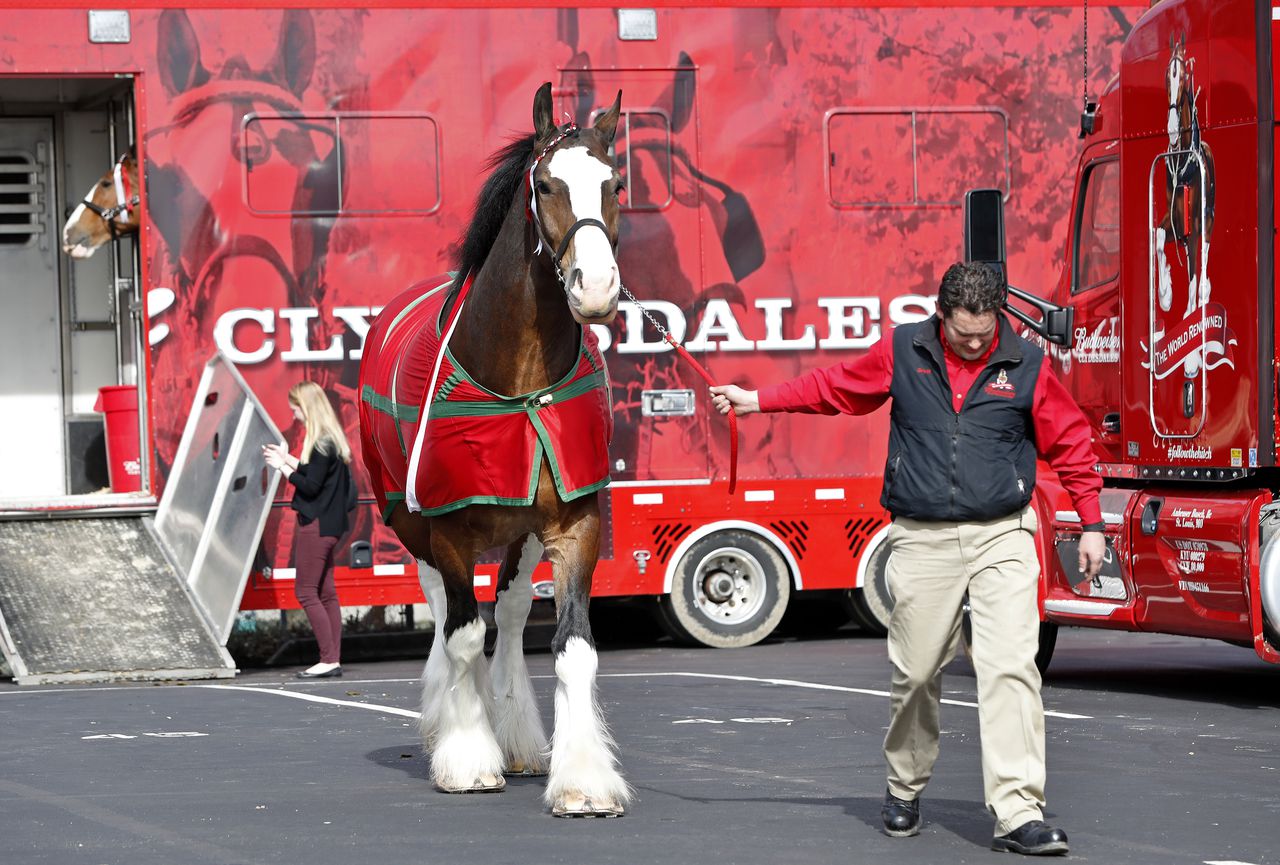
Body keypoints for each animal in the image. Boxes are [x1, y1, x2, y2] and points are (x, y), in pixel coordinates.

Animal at [358, 82, 627, 818]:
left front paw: (582, 779)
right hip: (409, 520)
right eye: (545, 183)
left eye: (614, 183)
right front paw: (466, 756)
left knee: (504, 611)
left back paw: (518, 735)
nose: (596, 287)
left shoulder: (574, 522)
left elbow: (571, 646)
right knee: (451, 613)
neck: (520, 384)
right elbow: (462, 633)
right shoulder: (448, 526)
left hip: (521, 530)